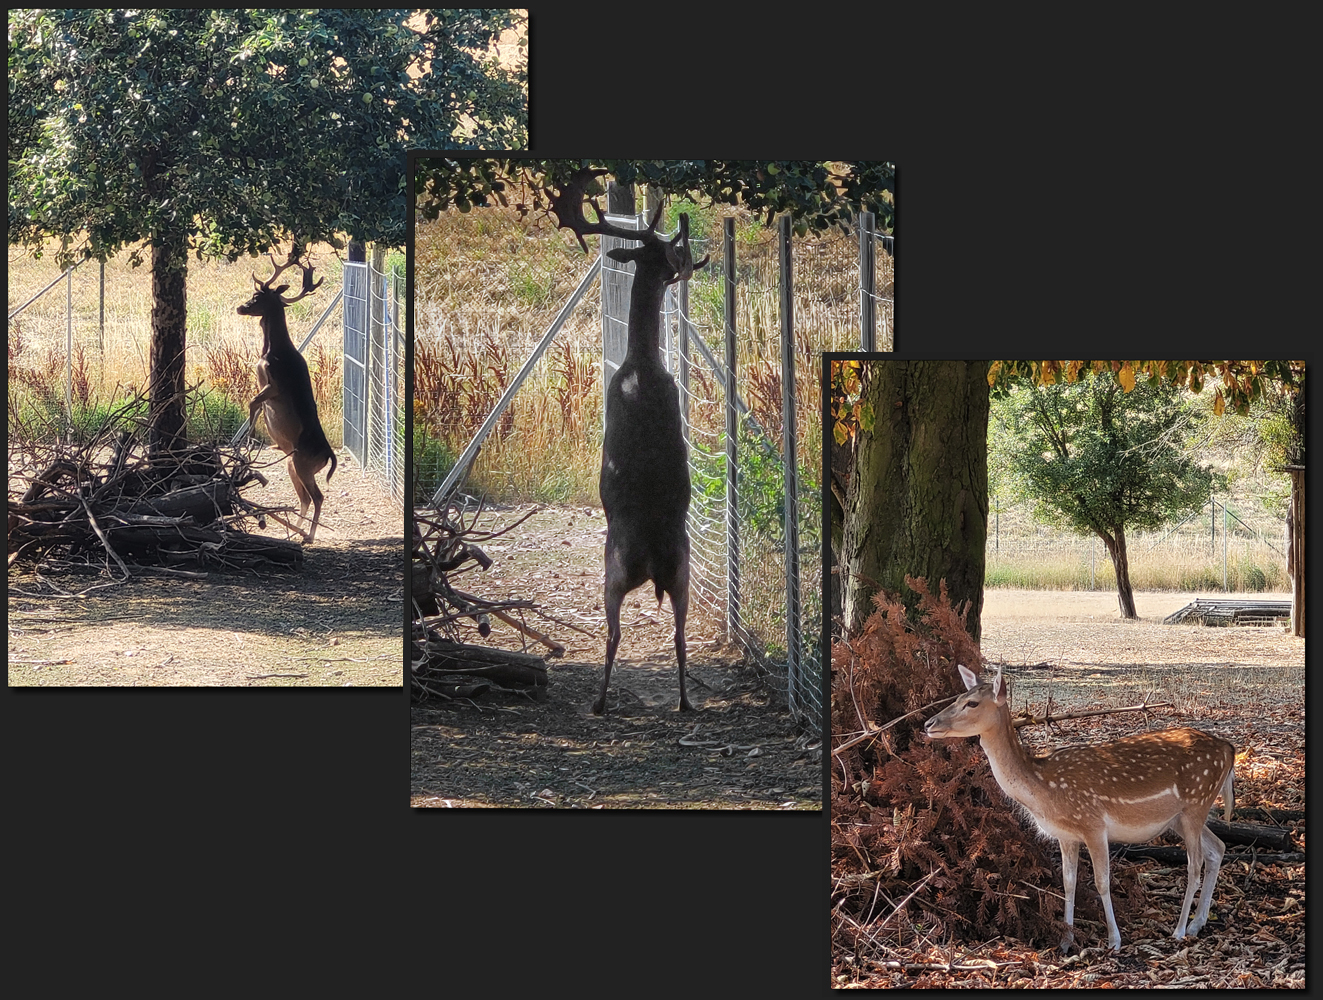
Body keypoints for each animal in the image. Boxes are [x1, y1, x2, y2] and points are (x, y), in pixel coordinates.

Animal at [240, 250, 338, 547]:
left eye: (258, 296)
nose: (241, 307)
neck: (269, 352)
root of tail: (329, 456)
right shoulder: (261, 383)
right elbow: (254, 406)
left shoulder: (276, 385)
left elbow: (252, 403)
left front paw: (248, 441)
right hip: (293, 465)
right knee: (304, 498)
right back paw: (296, 532)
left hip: (303, 463)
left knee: (317, 497)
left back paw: (309, 536)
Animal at [547, 173, 709, 719]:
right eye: (665, 256)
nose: (683, 264)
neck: (641, 361)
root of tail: (652, 557)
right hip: (683, 570)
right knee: (680, 636)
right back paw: (685, 701)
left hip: (613, 566)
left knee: (613, 634)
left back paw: (599, 701)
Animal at [926, 664, 1233, 952]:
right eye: (958, 697)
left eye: (972, 703)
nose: (929, 723)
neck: (1046, 791)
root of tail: (1229, 749)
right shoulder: (1066, 834)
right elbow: (1068, 882)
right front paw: (1065, 940)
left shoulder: (1093, 823)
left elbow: (1102, 881)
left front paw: (1114, 940)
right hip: (1179, 817)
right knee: (1217, 848)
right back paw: (1196, 924)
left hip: (1196, 801)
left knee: (1195, 864)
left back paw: (1180, 930)